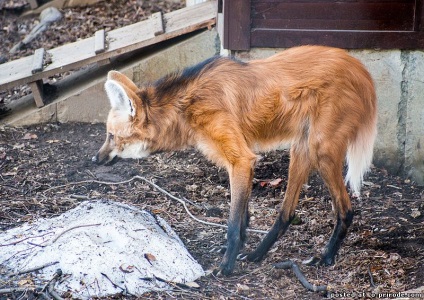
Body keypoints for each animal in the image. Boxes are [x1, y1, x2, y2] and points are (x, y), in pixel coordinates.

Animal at [93, 45, 378, 276]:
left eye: (110, 135)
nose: (96, 159)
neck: (186, 105)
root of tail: (361, 69)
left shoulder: (241, 160)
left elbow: (232, 221)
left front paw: (225, 267)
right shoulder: (243, 160)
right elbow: (242, 217)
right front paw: (237, 250)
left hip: (322, 151)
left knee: (345, 208)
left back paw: (326, 257)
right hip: (301, 148)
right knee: (287, 212)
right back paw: (257, 254)